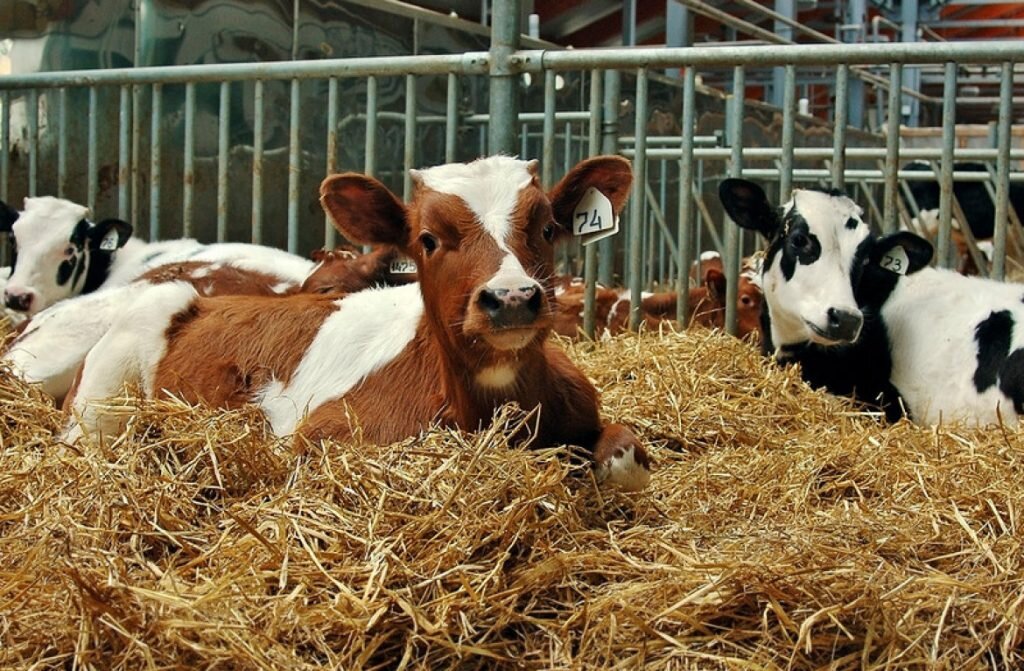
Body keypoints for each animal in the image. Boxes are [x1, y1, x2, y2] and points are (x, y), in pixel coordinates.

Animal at [61, 157, 647, 493]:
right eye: (427, 239)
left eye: (547, 228)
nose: (511, 297)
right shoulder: (318, 440)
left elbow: (625, 455)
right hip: (99, 398)